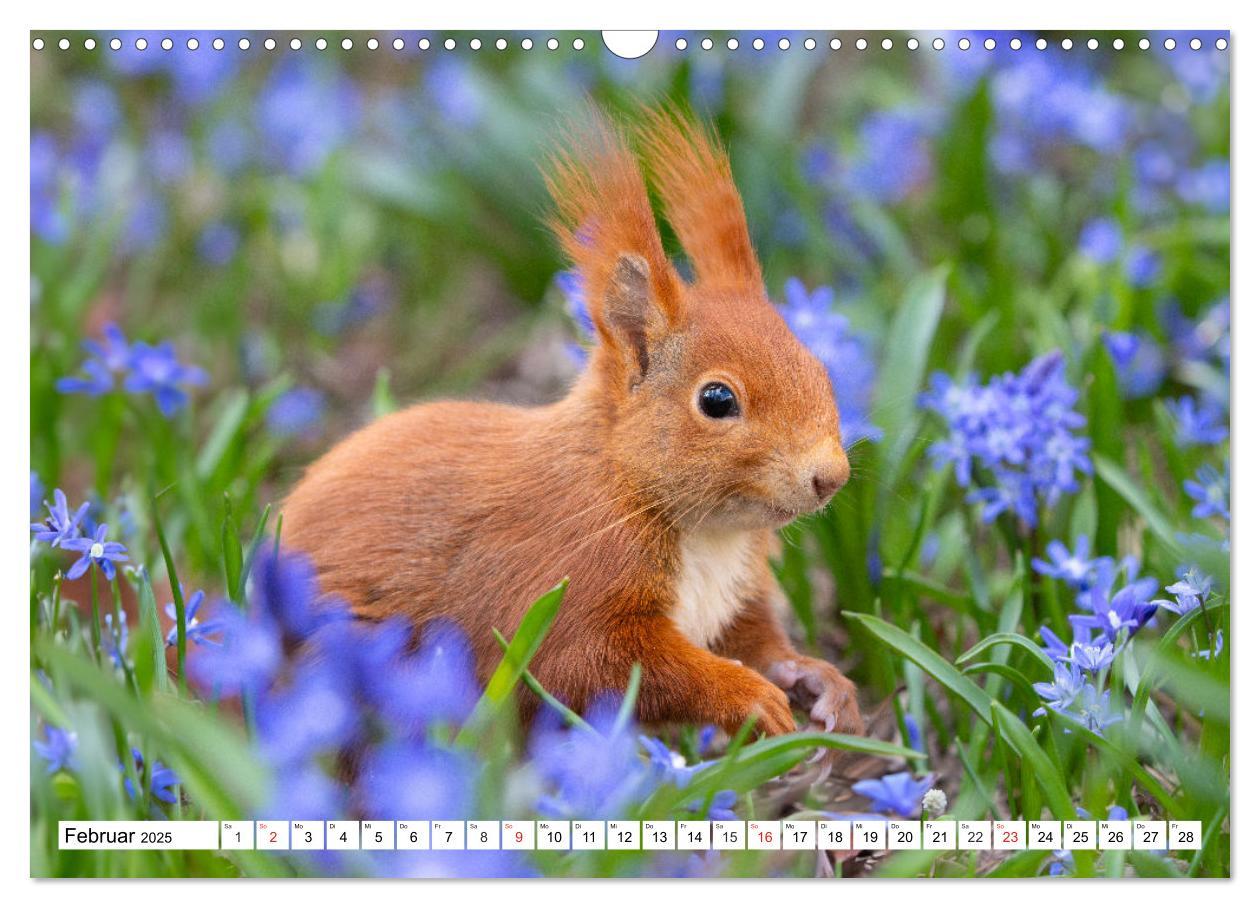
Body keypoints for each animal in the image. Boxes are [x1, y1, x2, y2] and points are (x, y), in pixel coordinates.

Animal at [280, 109, 861, 740]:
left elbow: (754, 641)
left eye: (819, 365)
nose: (831, 476)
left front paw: (816, 677)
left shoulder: (734, 594)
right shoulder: (565, 573)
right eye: (716, 399)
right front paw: (747, 696)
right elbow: (589, 663)